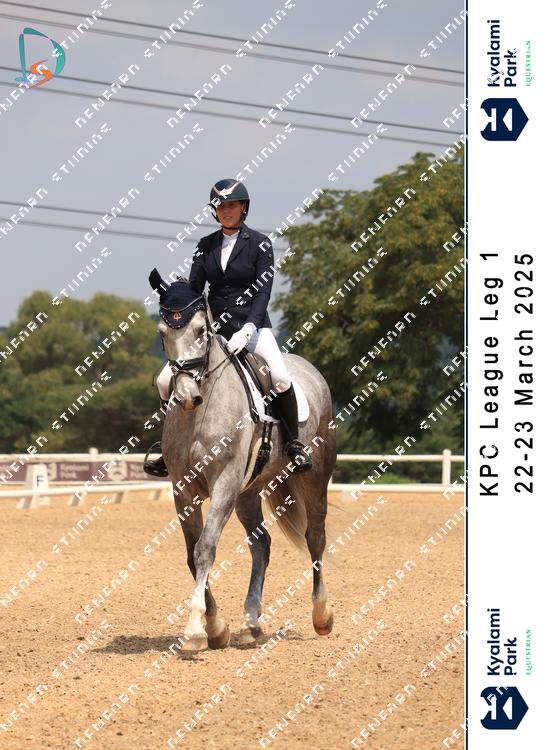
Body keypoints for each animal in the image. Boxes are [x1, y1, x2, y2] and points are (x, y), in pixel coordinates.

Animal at [157, 285, 336, 652]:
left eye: (201, 331)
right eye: (162, 333)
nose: (186, 396)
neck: (200, 413)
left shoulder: (224, 483)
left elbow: (205, 549)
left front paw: (196, 630)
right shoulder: (183, 489)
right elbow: (191, 553)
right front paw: (216, 628)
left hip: (314, 477)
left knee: (315, 536)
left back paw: (322, 615)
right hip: (248, 492)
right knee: (262, 544)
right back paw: (251, 624)